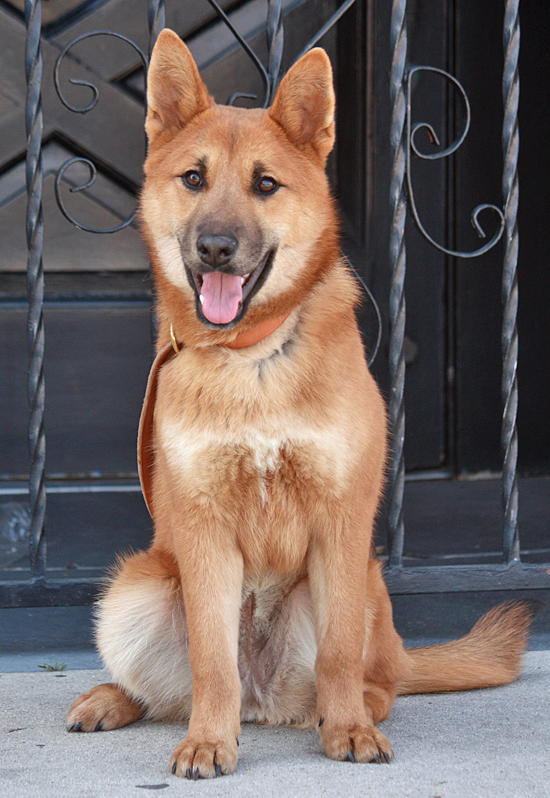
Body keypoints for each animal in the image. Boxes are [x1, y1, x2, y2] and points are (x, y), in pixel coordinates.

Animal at [66, 29, 536, 779]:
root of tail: (264, 703)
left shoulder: (341, 526)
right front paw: (208, 740)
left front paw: (345, 729)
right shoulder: (202, 535)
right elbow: (211, 663)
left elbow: (340, 652)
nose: (216, 247)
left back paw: (350, 709)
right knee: (173, 689)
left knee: (374, 678)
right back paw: (116, 700)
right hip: (138, 586)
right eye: (193, 179)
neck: (255, 357)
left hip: (361, 586)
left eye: (266, 184)